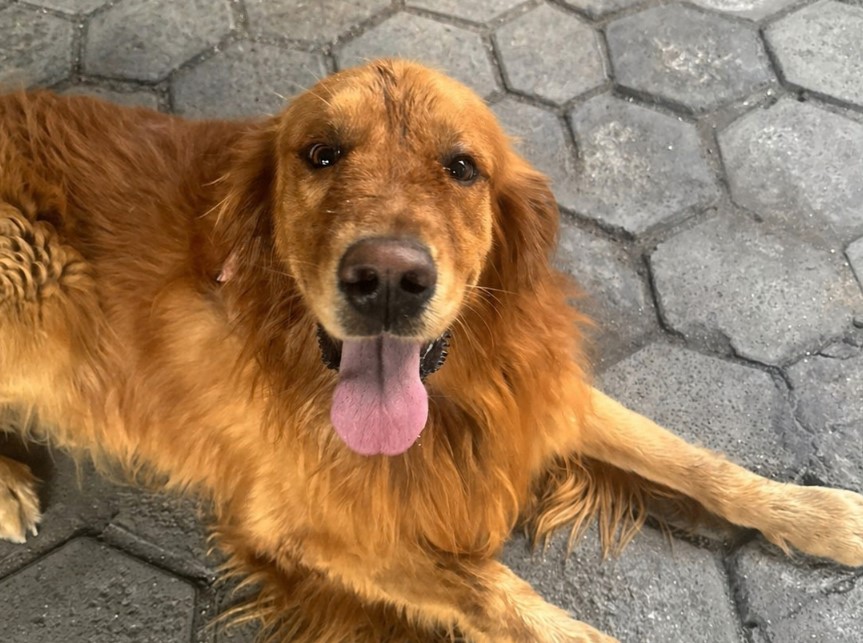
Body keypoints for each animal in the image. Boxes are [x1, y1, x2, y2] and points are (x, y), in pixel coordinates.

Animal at [0, 59, 861, 642]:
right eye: (320, 154)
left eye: (461, 166)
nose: (386, 278)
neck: (449, 403)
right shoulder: (295, 523)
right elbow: (494, 592)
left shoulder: (538, 393)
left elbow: (694, 461)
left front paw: (818, 513)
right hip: (29, 272)